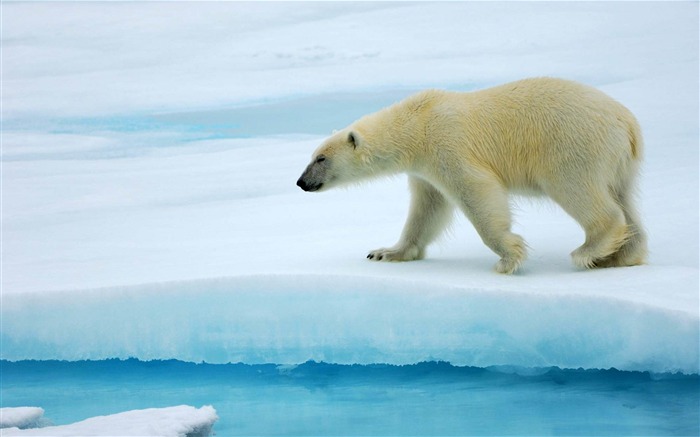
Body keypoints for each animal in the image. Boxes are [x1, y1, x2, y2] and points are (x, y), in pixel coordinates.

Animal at [296, 76, 644, 270]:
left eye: (321, 158)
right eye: (312, 156)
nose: (301, 182)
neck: (416, 124)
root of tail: (627, 123)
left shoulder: (447, 145)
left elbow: (476, 191)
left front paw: (508, 257)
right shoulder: (424, 169)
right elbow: (427, 208)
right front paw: (386, 252)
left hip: (572, 146)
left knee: (579, 191)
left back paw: (589, 250)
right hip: (618, 162)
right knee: (624, 198)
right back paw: (621, 255)